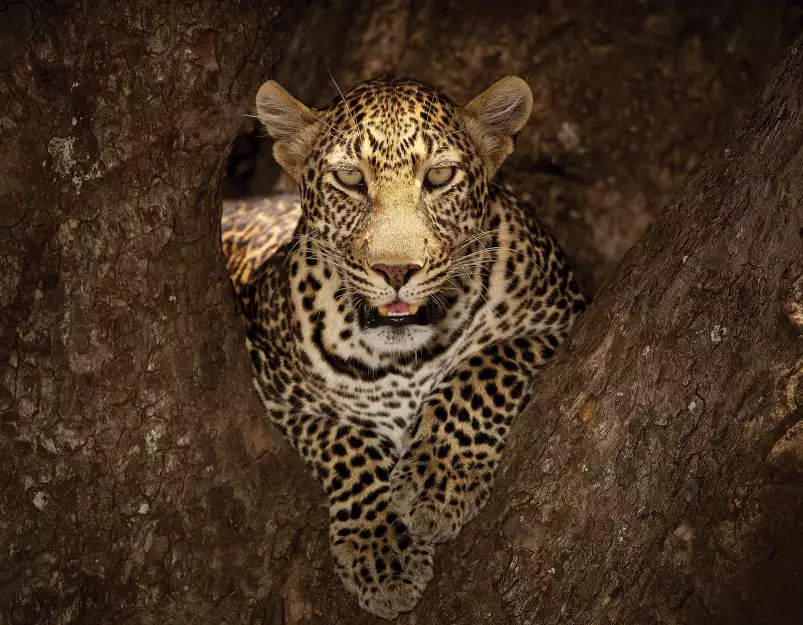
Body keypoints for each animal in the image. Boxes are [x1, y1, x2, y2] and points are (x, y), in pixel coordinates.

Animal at [220, 74, 584, 620]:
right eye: (350, 179)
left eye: (439, 176)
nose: (396, 271)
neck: (404, 361)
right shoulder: (275, 386)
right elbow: (344, 441)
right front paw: (382, 552)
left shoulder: (562, 317)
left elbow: (483, 368)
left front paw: (438, 481)